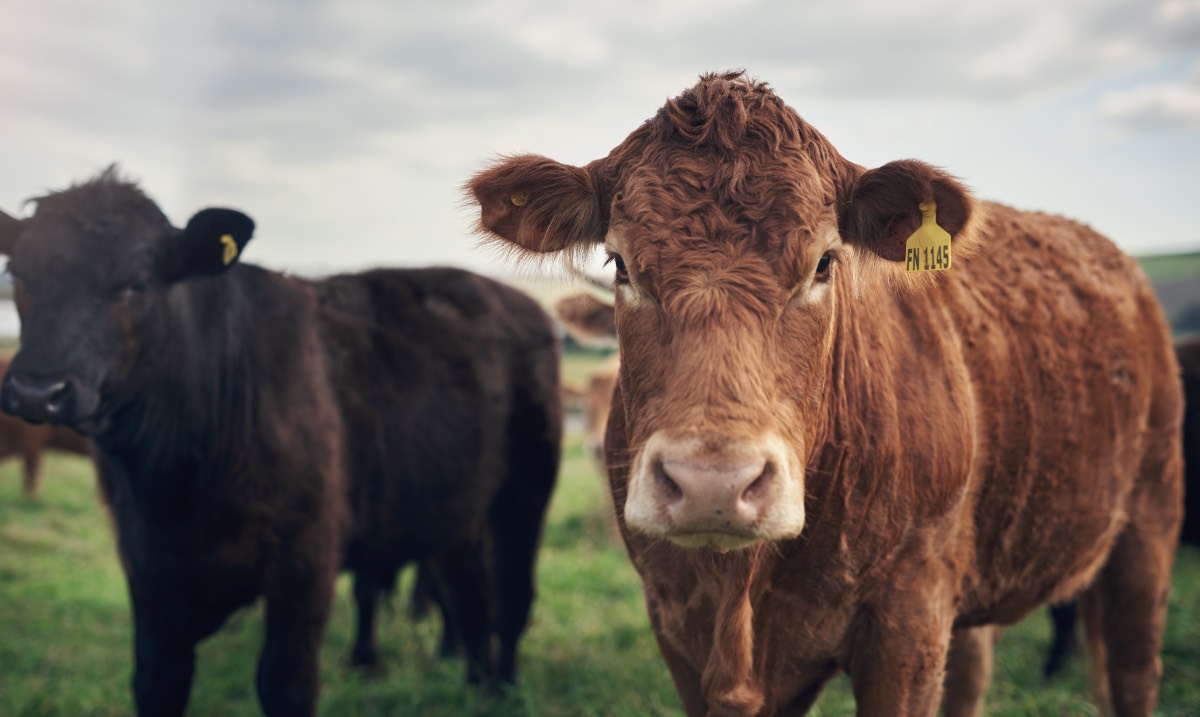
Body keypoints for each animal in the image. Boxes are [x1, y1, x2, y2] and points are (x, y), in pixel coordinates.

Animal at [467, 71, 1183, 716]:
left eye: (823, 263)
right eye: (620, 264)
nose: (711, 484)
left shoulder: (909, 625)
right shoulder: (678, 628)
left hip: (1148, 524)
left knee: (1133, 671)